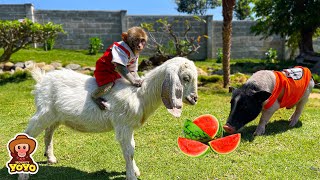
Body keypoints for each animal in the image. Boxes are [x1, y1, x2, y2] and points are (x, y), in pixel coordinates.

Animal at [22, 56, 198, 180]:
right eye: (186, 78)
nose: (195, 99)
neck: (141, 94)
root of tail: (41, 80)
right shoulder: (123, 125)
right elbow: (129, 151)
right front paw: (131, 176)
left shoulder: (128, 127)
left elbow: (132, 148)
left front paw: (134, 170)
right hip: (44, 111)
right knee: (29, 133)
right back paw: (24, 173)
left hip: (55, 116)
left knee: (48, 132)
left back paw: (50, 158)